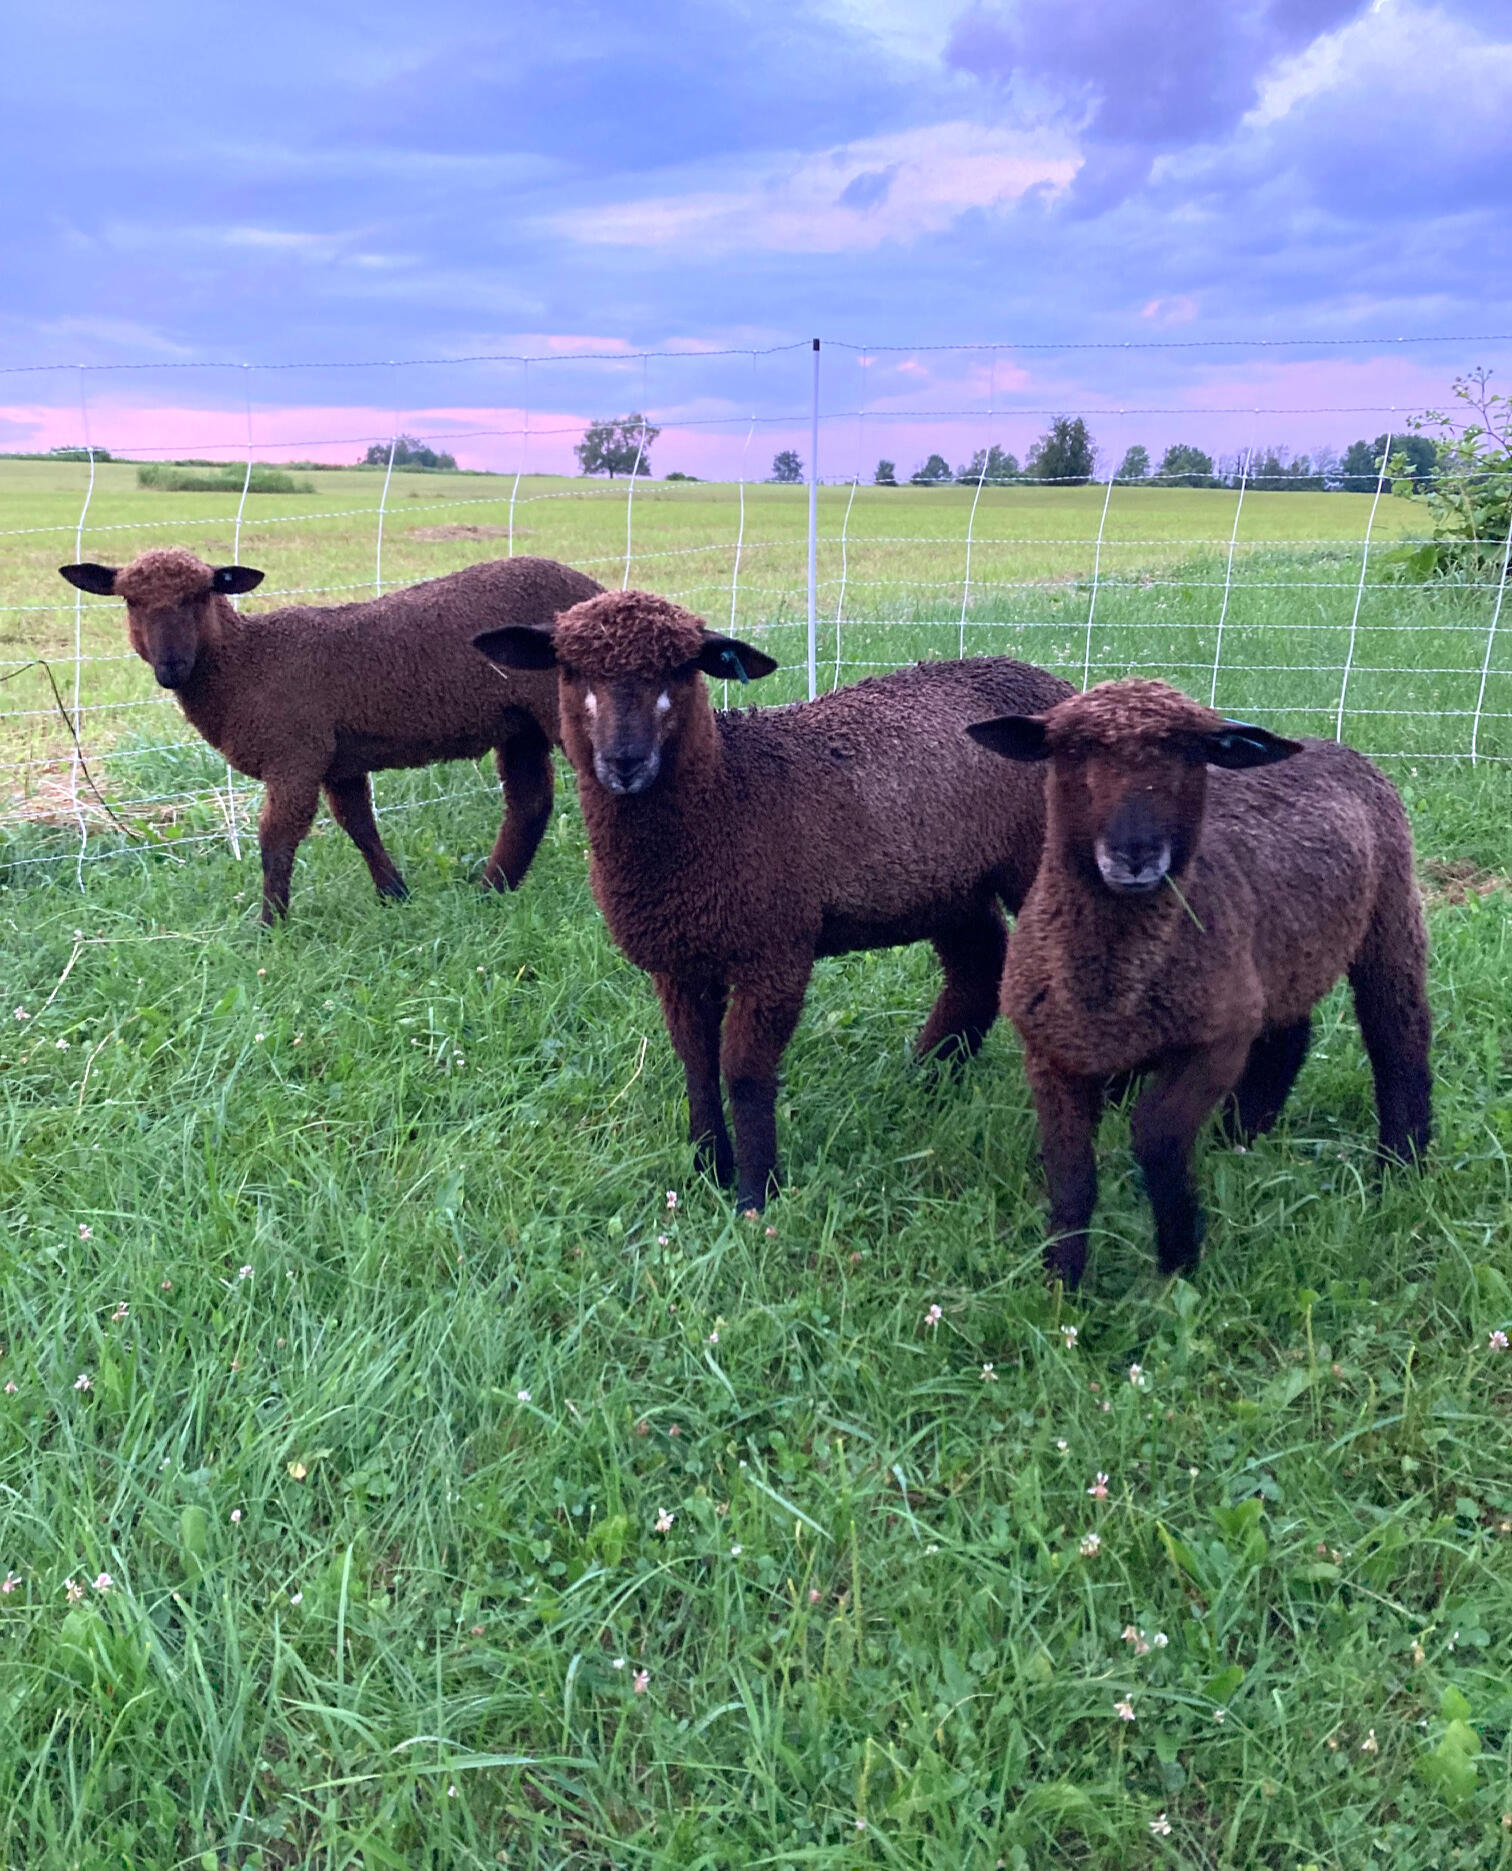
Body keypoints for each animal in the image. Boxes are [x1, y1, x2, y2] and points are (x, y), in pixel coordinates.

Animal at [59, 549, 602, 921]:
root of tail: (597, 589)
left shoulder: (295, 754)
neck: (246, 662)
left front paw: (271, 926)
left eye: (202, 594)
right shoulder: (339, 759)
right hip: (520, 722)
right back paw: (493, 890)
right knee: (530, 802)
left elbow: (276, 839)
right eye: (130, 600)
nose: (171, 667)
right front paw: (394, 896)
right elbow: (360, 826)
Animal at [474, 590, 1073, 1212]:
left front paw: (754, 1192)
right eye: (570, 669)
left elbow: (743, 1071)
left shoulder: (775, 953)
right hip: (949, 884)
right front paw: (706, 1167)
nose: (625, 761)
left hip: (1030, 862)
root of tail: (1051, 687)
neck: (727, 796)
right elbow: (696, 1062)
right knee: (978, 963)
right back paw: (927, 1077)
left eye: (681, 670)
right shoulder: (677, 961)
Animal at [967, 677, 1432, 1287]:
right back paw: (1241, 1138)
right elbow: (1070, 1175)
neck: (1111, 991)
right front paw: (1061, 1281)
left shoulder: (1214, 1043)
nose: (1135, 854)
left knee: (1398, 1034)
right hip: (1277, 959)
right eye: (1071, 750)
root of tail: (1328, 744)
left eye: (1191, 755)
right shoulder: (1051, 1055)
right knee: (1289, 1034)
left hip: (1390, 915)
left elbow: (1156, 1135)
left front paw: (1178, 1263)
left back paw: (1401, 1166)